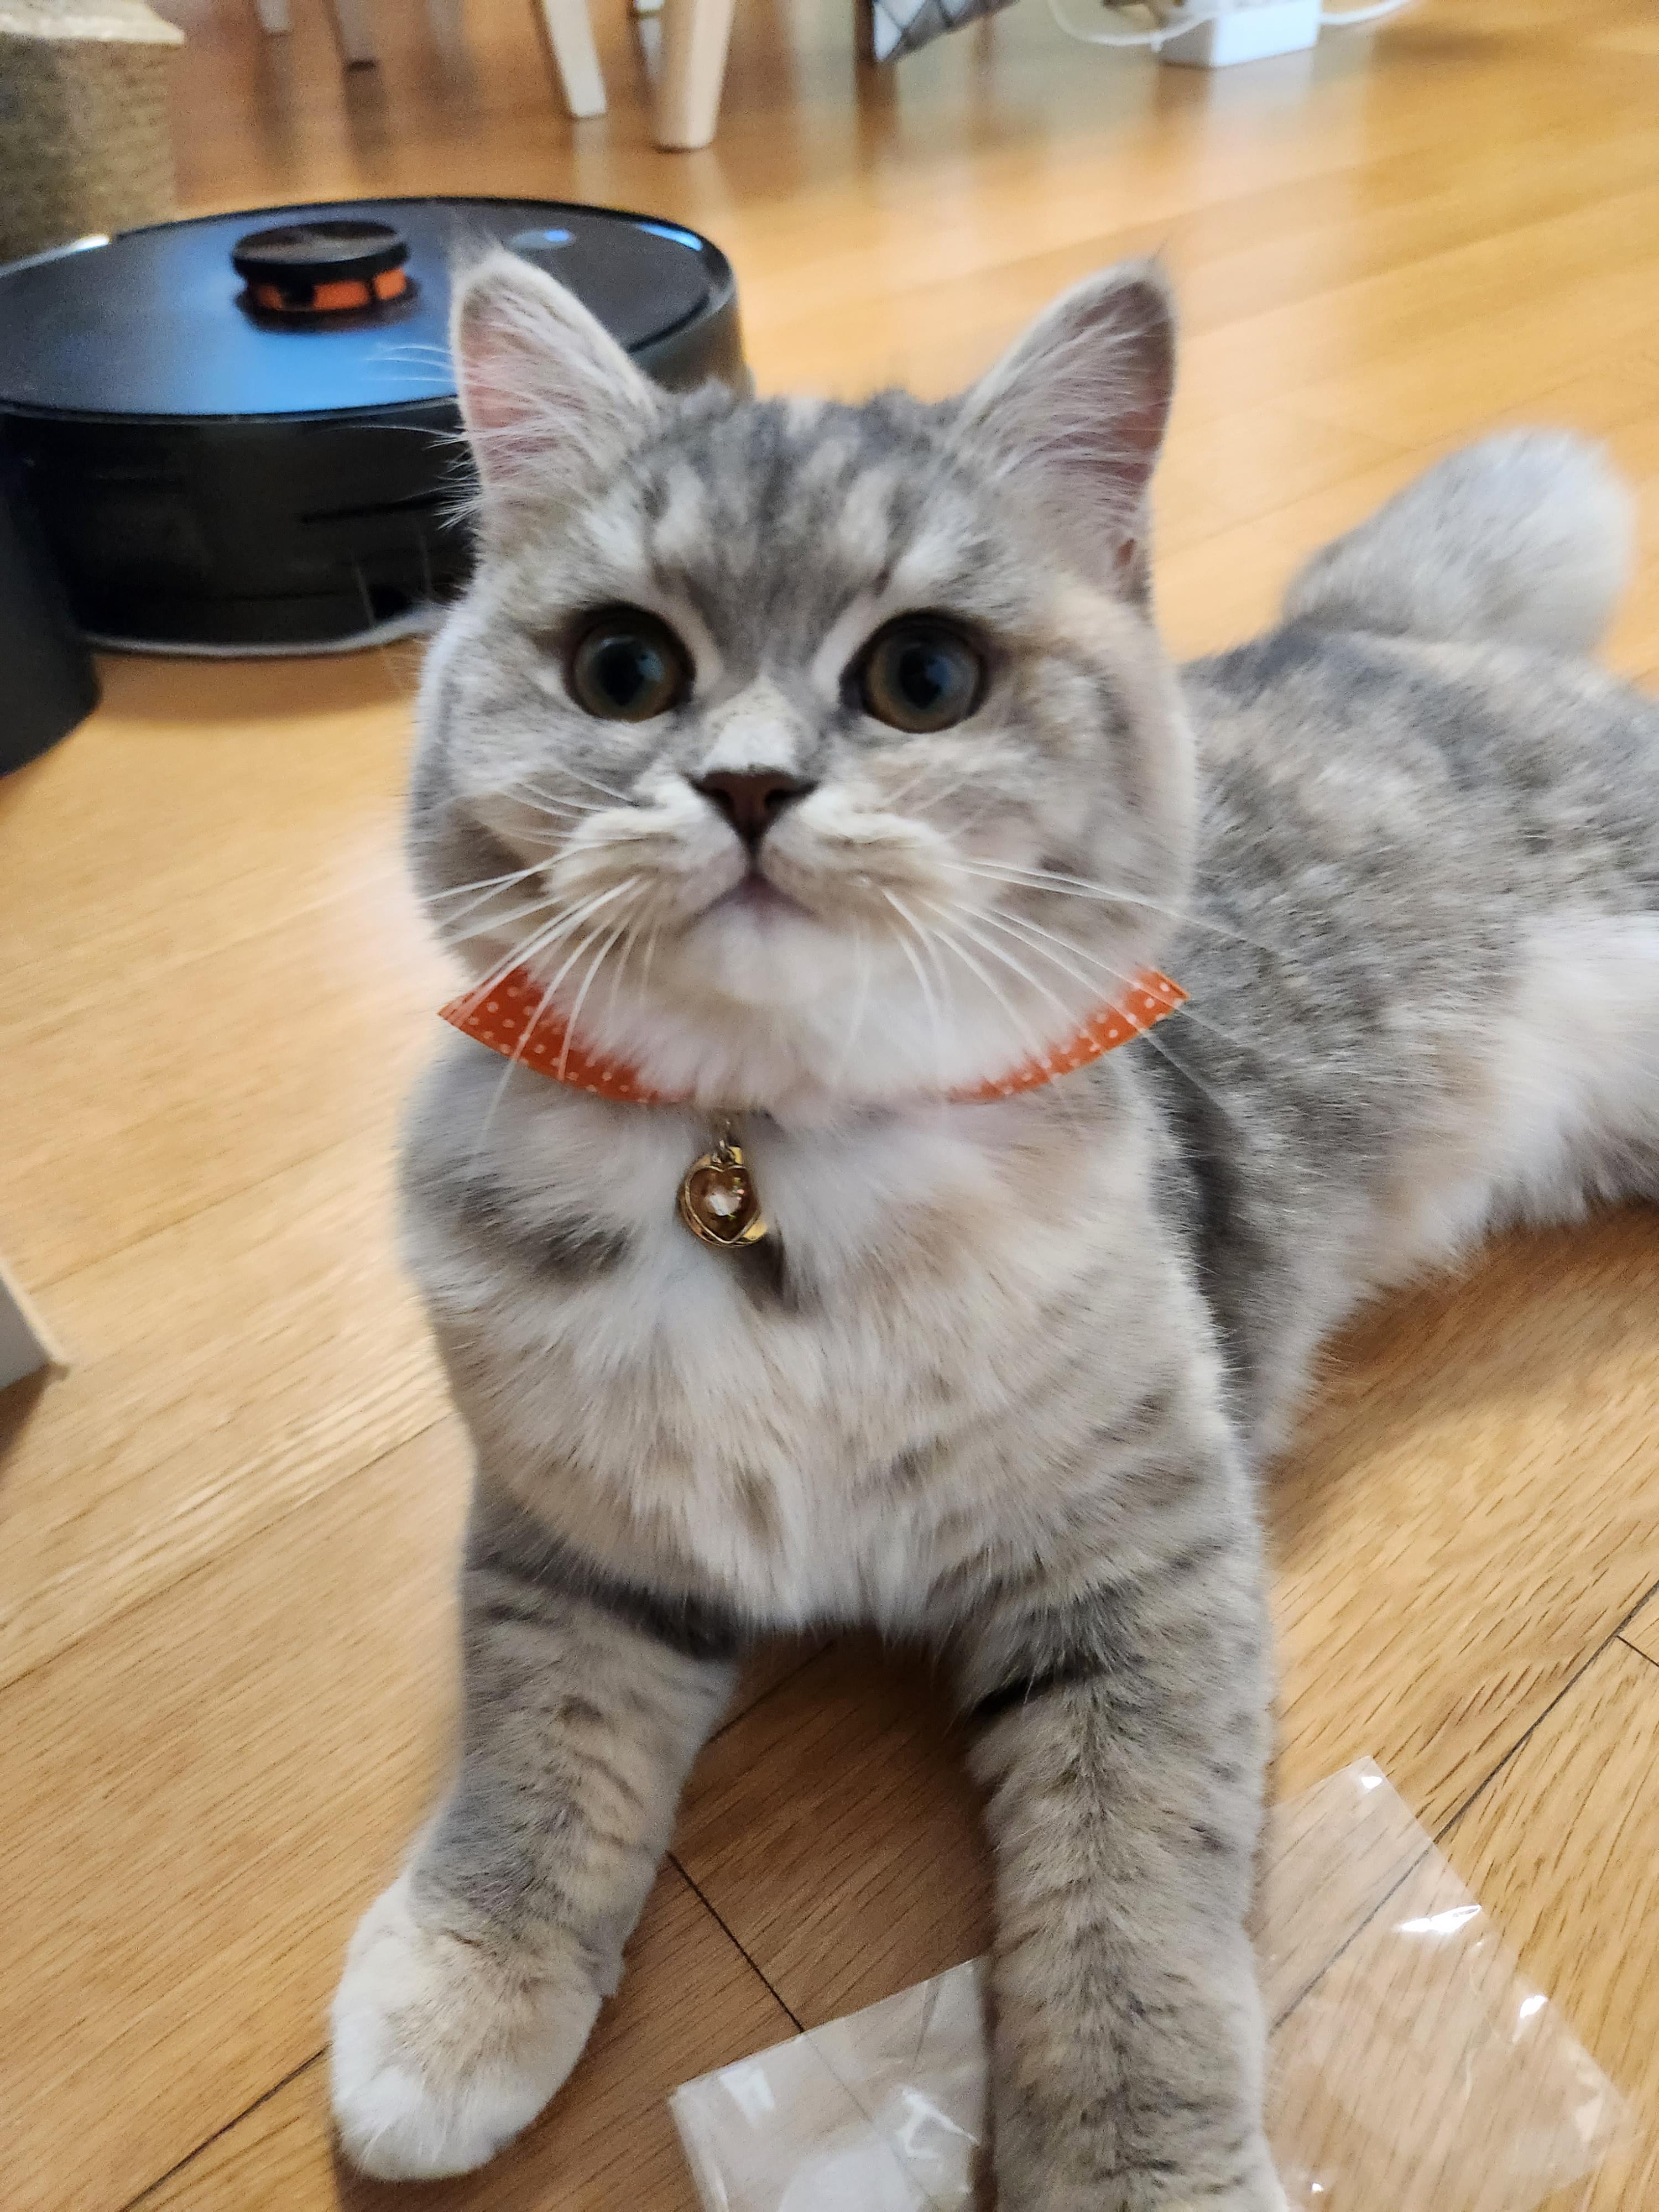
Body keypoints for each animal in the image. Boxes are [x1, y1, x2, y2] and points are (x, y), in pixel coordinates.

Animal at [328, 246, 1658, 2209]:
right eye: (624, 669)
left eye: (924, 677)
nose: (745, 787)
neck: (772, 1167)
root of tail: (1362, 627)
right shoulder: (576, 1540)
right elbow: (536, 1761)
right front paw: (460, 1990)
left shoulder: (1143, 1573)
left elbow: (1130, 1914)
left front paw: (1135, 2169)